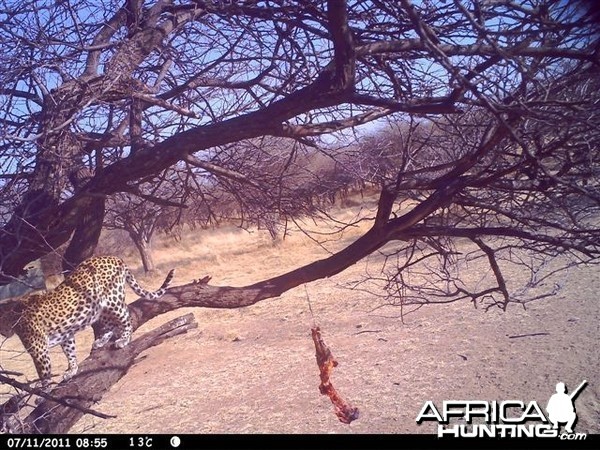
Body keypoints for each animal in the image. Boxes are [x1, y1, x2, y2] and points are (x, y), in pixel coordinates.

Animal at [0, 256, 175, 386]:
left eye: (2, 324)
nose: (3, 334)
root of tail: (114, 257)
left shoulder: (39, 350)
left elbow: (43, 371)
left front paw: (43, 388)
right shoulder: (66, 335)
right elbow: (70, 352)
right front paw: (72, 370)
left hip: (112, 299)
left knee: (125, 317)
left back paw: (123, 339)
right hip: (98, 307)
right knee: (110, 324)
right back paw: (100, 341)